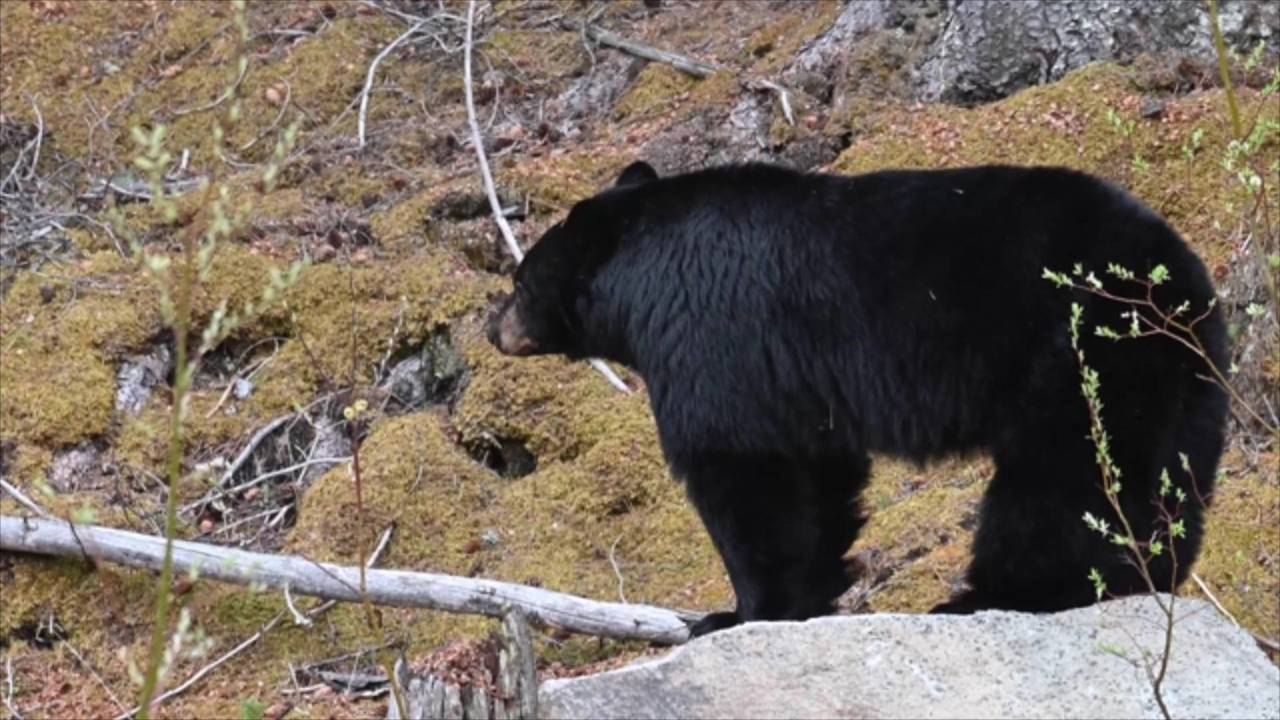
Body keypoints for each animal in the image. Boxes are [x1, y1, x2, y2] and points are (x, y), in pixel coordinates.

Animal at [486, 160, 1228, 638]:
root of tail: (1179, 276)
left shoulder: (711, 337)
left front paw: (736, 612)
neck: (642, 276)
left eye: (520, 280)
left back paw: (996, 595)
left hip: (1079, 354)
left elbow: (741, 469)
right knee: (1156, 475)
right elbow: (816, 474)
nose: (492, 326)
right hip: (1172, 376)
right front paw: (808, 594)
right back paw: (1144, 575)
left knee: (1064, 483)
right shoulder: (792, 381)